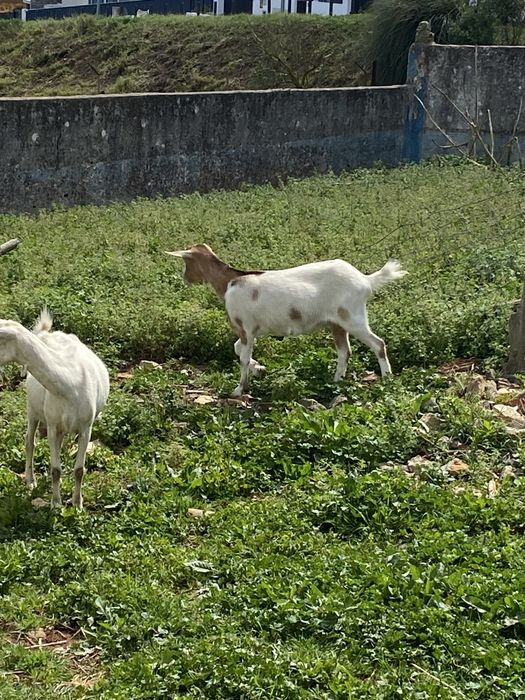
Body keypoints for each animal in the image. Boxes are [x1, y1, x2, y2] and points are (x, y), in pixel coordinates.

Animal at [0, 310, 110, 509]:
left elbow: (79, 470)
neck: (70, 385)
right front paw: (56, 504)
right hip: (32, 409)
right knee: (29, 442)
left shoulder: (86, 428)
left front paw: (77, 504)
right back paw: (31, 481)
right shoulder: (51, 425)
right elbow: (55, 469)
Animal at [166, 244, 407, 397]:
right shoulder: (252, 331)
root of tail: (365, 280)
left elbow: (242, 357)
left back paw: (387, 379)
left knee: (378, 344)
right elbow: (239, 350)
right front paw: (260, 369)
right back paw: (336, 381)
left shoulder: (245, 328)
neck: (229, 282)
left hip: (352, 317)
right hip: (337, 323)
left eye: (186, 262)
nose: (185, 279)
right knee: (344, 351)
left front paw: (239, 389)